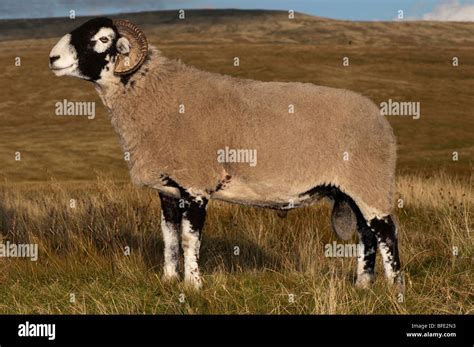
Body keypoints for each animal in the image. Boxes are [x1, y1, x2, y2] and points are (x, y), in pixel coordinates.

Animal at [48, 17, 404, 292]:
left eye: (102, 39)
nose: (52, 58)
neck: (154, 94)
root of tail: (380, 118)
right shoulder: (168, 190)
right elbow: (169, 238)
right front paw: (169, 280)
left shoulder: (196, 185)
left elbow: (190, 241)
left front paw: (193, 286)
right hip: (352, 190)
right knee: (367, 236)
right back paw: (362, 287)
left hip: (369, 182)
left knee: (386, 233)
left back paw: (395, 291)